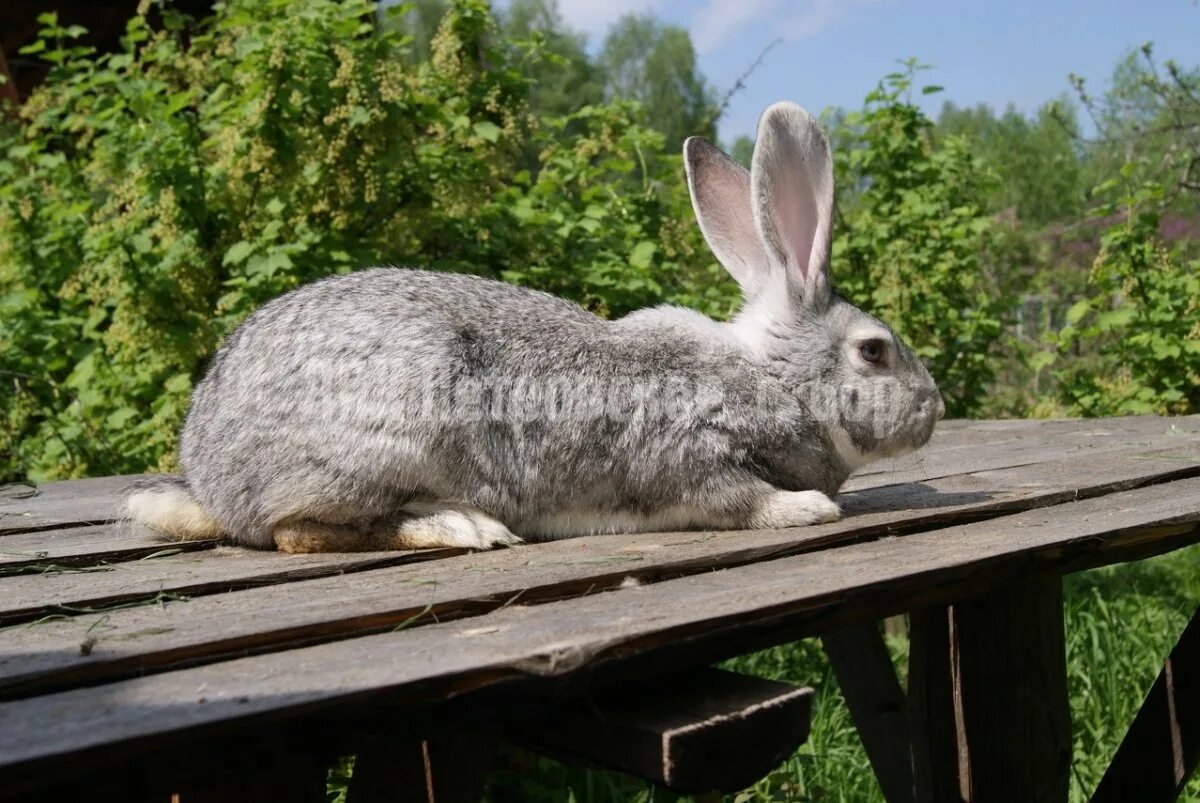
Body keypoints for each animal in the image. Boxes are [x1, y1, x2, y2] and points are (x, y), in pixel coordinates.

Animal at [126, 102, 940, 552]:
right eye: (874, 351)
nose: (934, 408)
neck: (768, 378)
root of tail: (212, 474)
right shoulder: (688, 453)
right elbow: (735, 498)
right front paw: (809, 507)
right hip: (381, 441)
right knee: (298, 530)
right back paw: (462, 527)